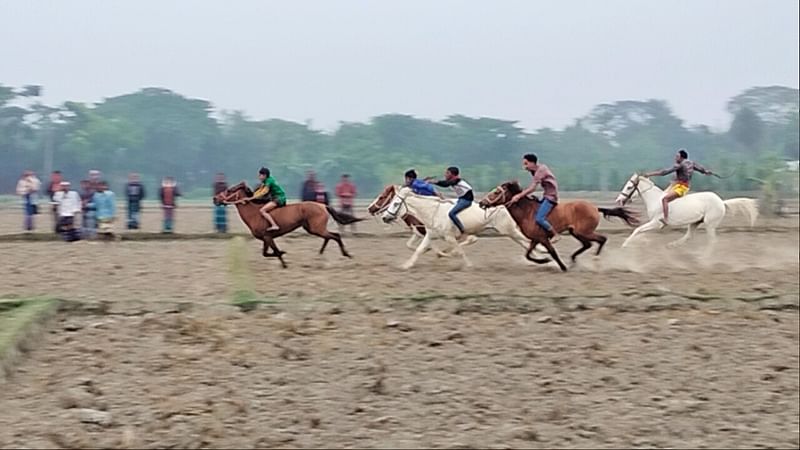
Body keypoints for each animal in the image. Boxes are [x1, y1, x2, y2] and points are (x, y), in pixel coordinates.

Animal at [211, 182, 364, 268]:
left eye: (229, 190)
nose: (215, 198)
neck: (254, 213)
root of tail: (323, 205)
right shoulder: (266, 238)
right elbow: (266, 253)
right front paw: (282, 256)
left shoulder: (268, 237)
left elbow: (273, 252)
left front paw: (283, 261)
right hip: (312, 228)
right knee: (329, 237)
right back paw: (320, 254)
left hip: (316, 228)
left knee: (335, 235)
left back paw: (346, 254)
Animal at [382, 185, 536, 268]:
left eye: (396, 204)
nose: (384, 217)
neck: (434, 211)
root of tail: (505, 205)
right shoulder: (430, 235)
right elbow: (419, 250)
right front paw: (406, 265)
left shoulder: (449, 237)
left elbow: (460, 251)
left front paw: (468, 265)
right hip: (510, 233)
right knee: (526, 244)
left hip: (510, 231)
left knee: (529, 241)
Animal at [478, 181, 640, 272]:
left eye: (496, 192)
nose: (481, 203)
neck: (527, 212)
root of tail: (594, 207)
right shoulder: (535, 239)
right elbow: (528, 254)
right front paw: (544, 261)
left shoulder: (543, 238)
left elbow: (553, 253)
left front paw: (562, 267)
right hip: (576, 232)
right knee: (588, 244)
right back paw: (574, 260)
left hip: (584, 232)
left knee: (602, 239)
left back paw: (595, 261)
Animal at [616, 172, 760, 250]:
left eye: (629, 187)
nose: (619, 200)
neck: (655, 199)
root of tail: (722, 202)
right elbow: (640, 231)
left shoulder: (656, 223)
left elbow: (637, 229)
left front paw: (624, 245)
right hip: (695, 223)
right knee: (688, 236)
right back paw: (671, 246)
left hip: (710, 224)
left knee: (712, 241)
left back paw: (704, 258)